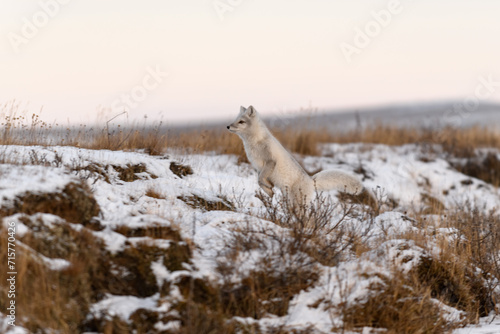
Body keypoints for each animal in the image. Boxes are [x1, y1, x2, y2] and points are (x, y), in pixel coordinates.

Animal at [228, 106, 368, 206]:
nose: (228, 126)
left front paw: (269, 188)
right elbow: (260, 181)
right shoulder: (258, 167)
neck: (255, 143)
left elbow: (260, 179)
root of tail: (310, 180)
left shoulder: (270, 161)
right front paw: (269, 190)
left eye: (241, 121)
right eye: (235, 120)